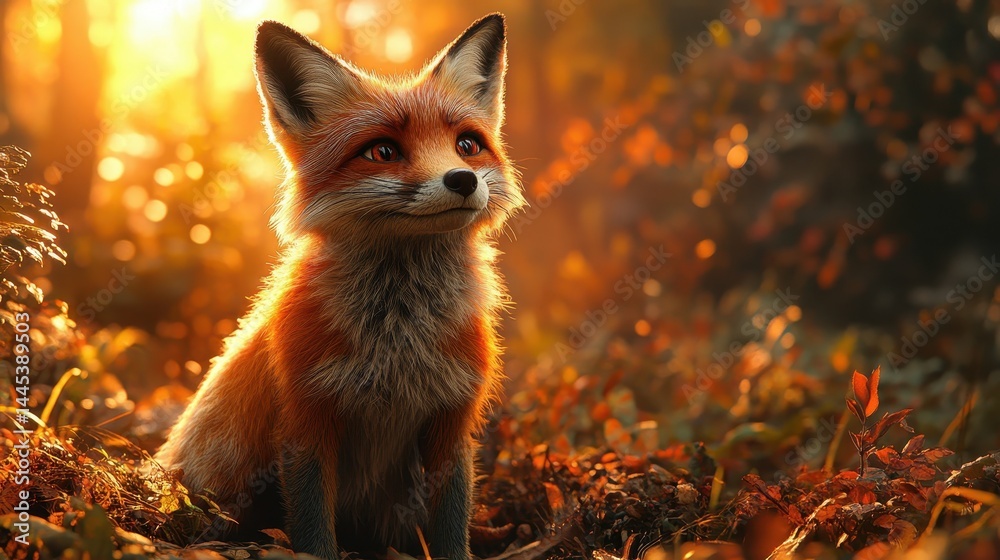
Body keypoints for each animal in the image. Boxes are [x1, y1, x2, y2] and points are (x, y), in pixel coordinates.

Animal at [155, 13, 524, 560]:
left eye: (468, 145)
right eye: (383, 151)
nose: (462, 179)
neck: (398, 340)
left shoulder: (452, 422)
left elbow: (453, 526)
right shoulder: (306, 421)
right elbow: (312, 529)